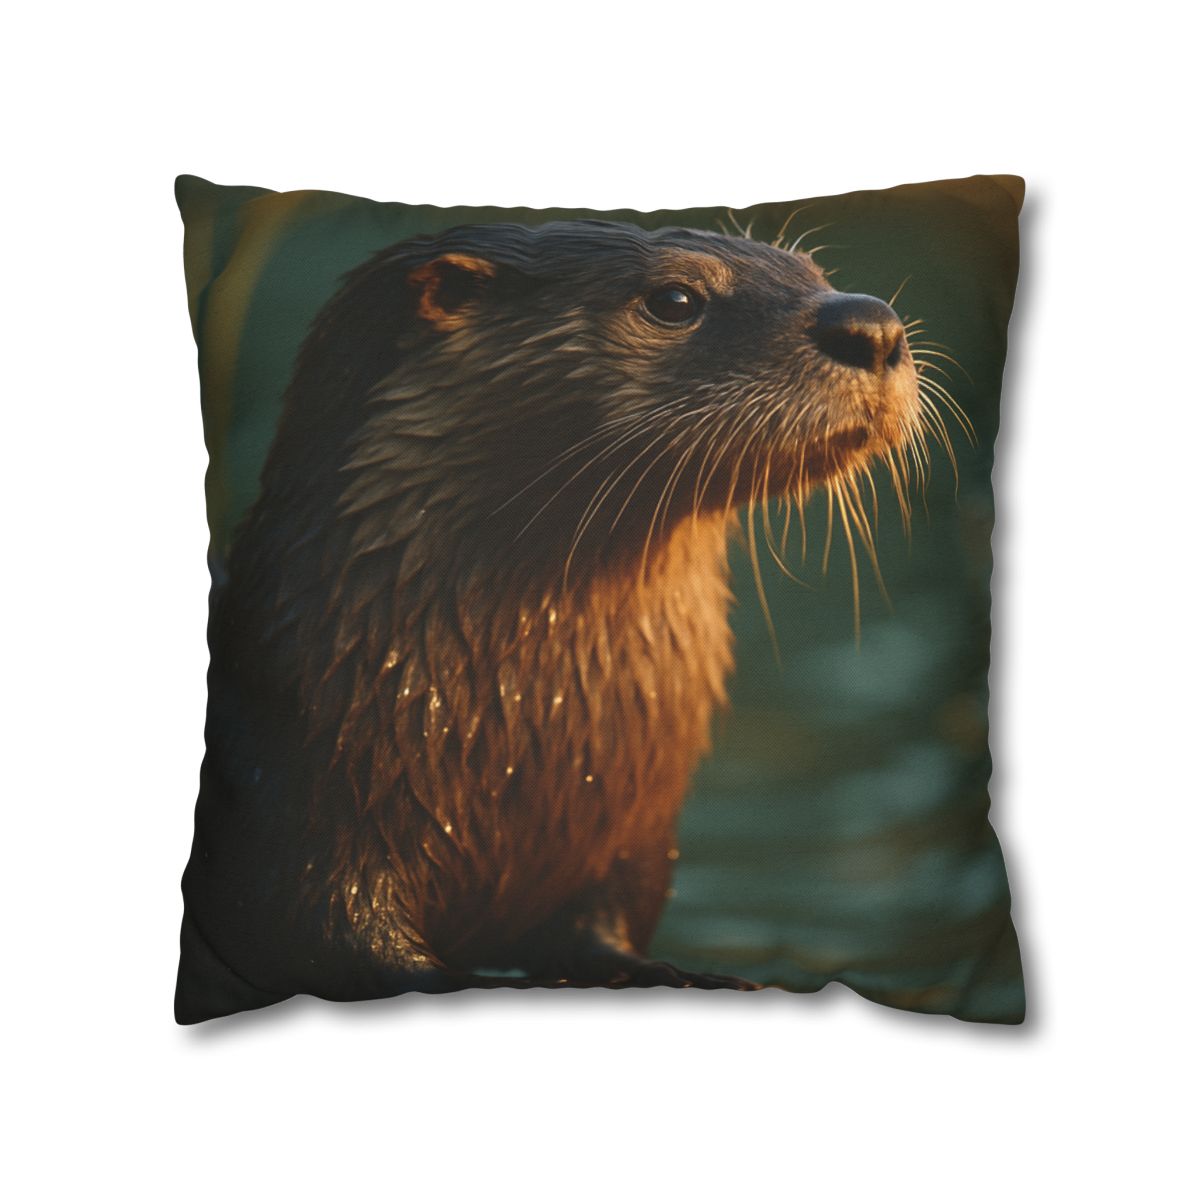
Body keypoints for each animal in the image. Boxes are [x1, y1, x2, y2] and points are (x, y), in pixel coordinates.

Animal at [177, 220, 925, 1022]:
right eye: (676, 299)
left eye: (816, 272)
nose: (872, 325)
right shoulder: (304, 816)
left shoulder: (623, 841)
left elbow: (600, 936)